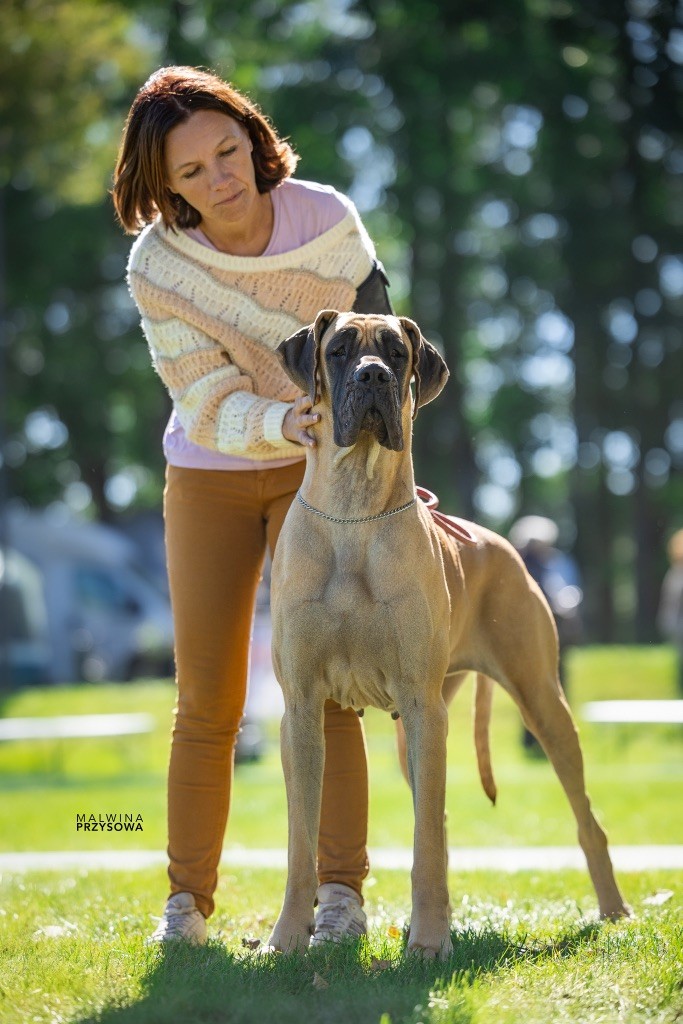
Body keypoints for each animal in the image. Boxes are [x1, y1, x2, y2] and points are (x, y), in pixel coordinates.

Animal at [266, 307, 630, 954]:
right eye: (338, 350)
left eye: (397, 352)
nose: (374, 376)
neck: (355, 513)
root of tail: (503, 542)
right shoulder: (303, 708)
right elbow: (301, 840)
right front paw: (286, 938)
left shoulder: (421, 701)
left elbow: (425, 846)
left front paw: (432, 944)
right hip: (416, 731)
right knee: (432, 817)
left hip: (538, 701)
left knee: (585, 821)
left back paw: (613, 911)